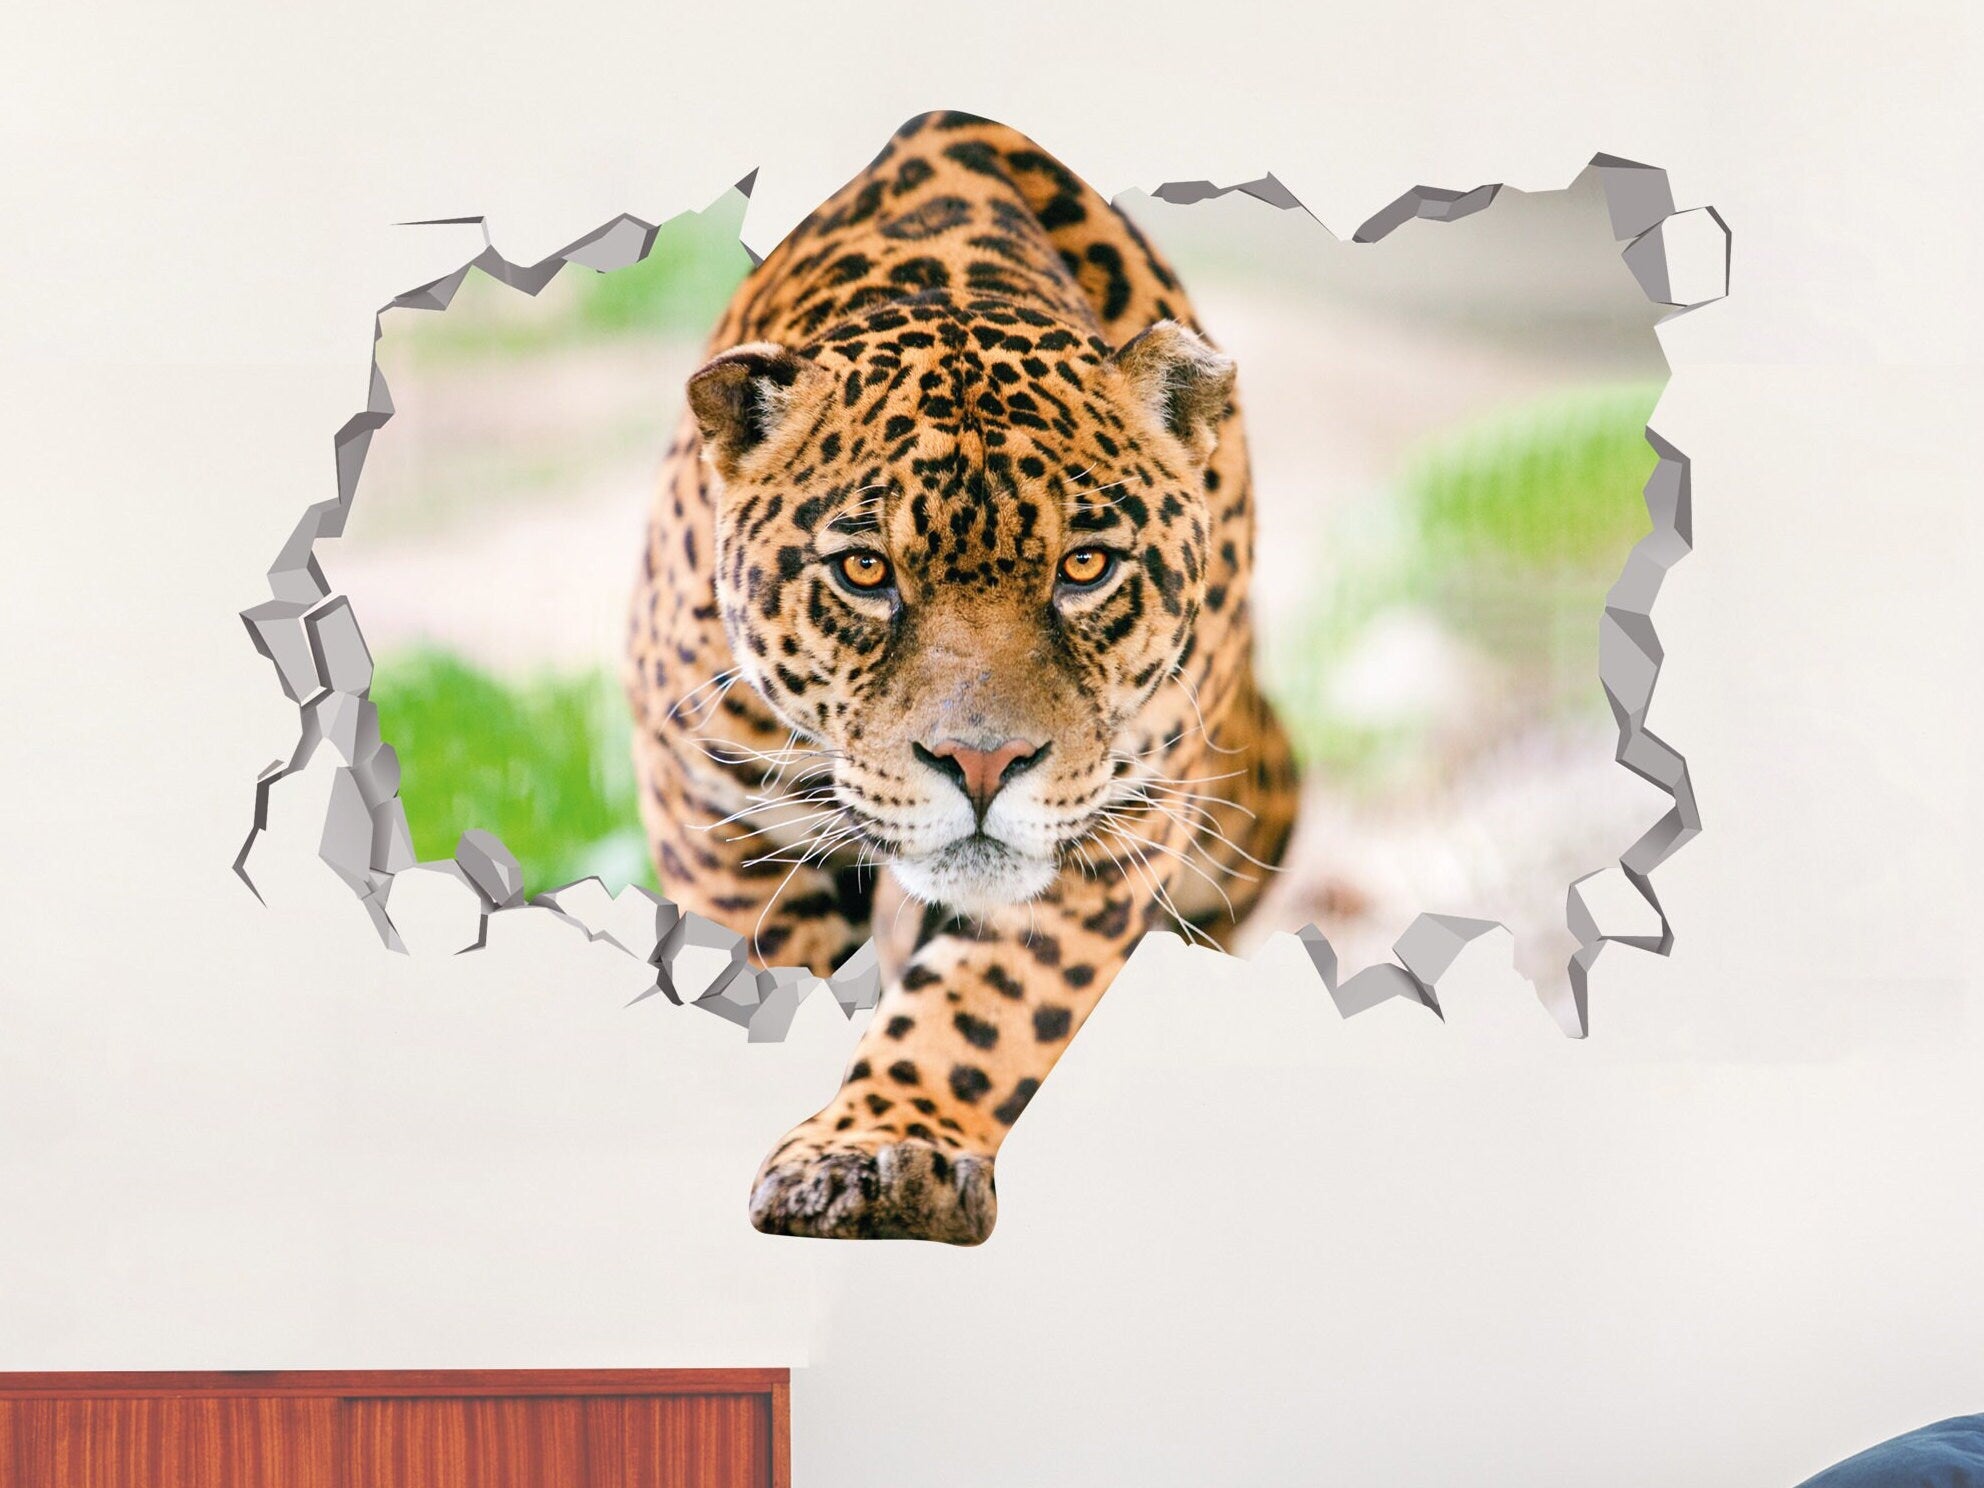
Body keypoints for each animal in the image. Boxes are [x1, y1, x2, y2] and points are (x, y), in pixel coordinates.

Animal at [626, 111, 1299, 1244]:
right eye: (865, 571)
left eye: (1086, 567)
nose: (982, 766)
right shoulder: (712, 797)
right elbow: (770, 962)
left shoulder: (1118, 822)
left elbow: (985, 1010)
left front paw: (883, 1150)